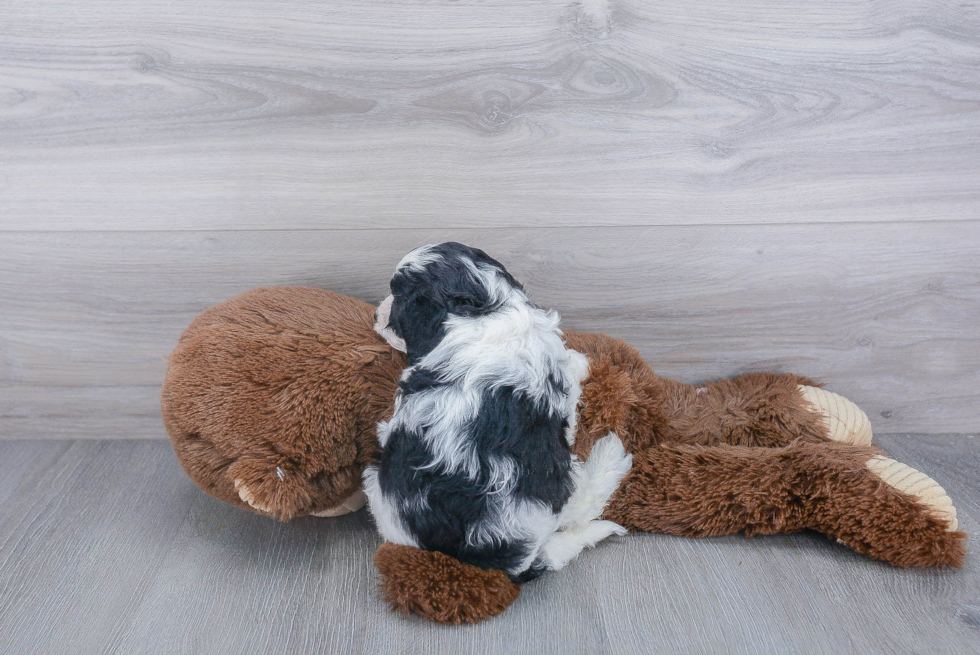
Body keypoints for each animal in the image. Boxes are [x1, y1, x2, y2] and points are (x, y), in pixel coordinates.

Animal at [364, 243, 632, 580]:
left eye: (397, 296)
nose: (375, 313)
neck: (486, 309)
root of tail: (496, 554)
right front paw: (580, 362)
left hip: (379, 491)